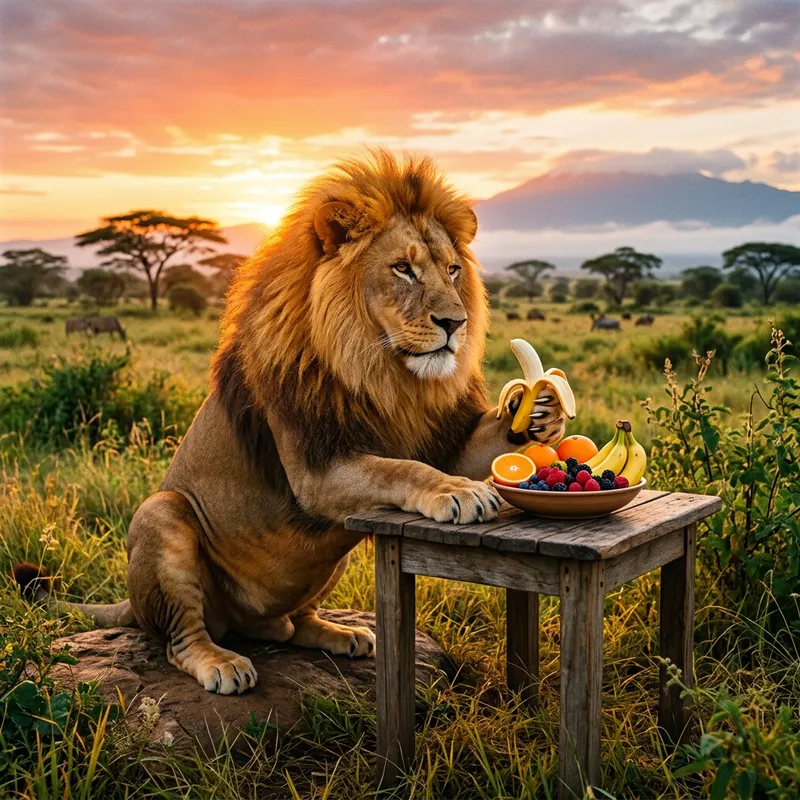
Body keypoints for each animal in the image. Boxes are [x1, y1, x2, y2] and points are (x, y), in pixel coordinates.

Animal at [17, 151, 566, 694]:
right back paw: (220, 663)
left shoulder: (440, 440)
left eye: (452, 270)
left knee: (288, 623)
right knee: (180, 637)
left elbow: (469, 450)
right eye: (403, 269)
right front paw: (459, 492)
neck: (386, 372)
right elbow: (400, 468)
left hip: (329, 557)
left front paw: (540, 411)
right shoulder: (314, 470)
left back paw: (340, 634)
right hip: (162, 514)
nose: (456, 323)